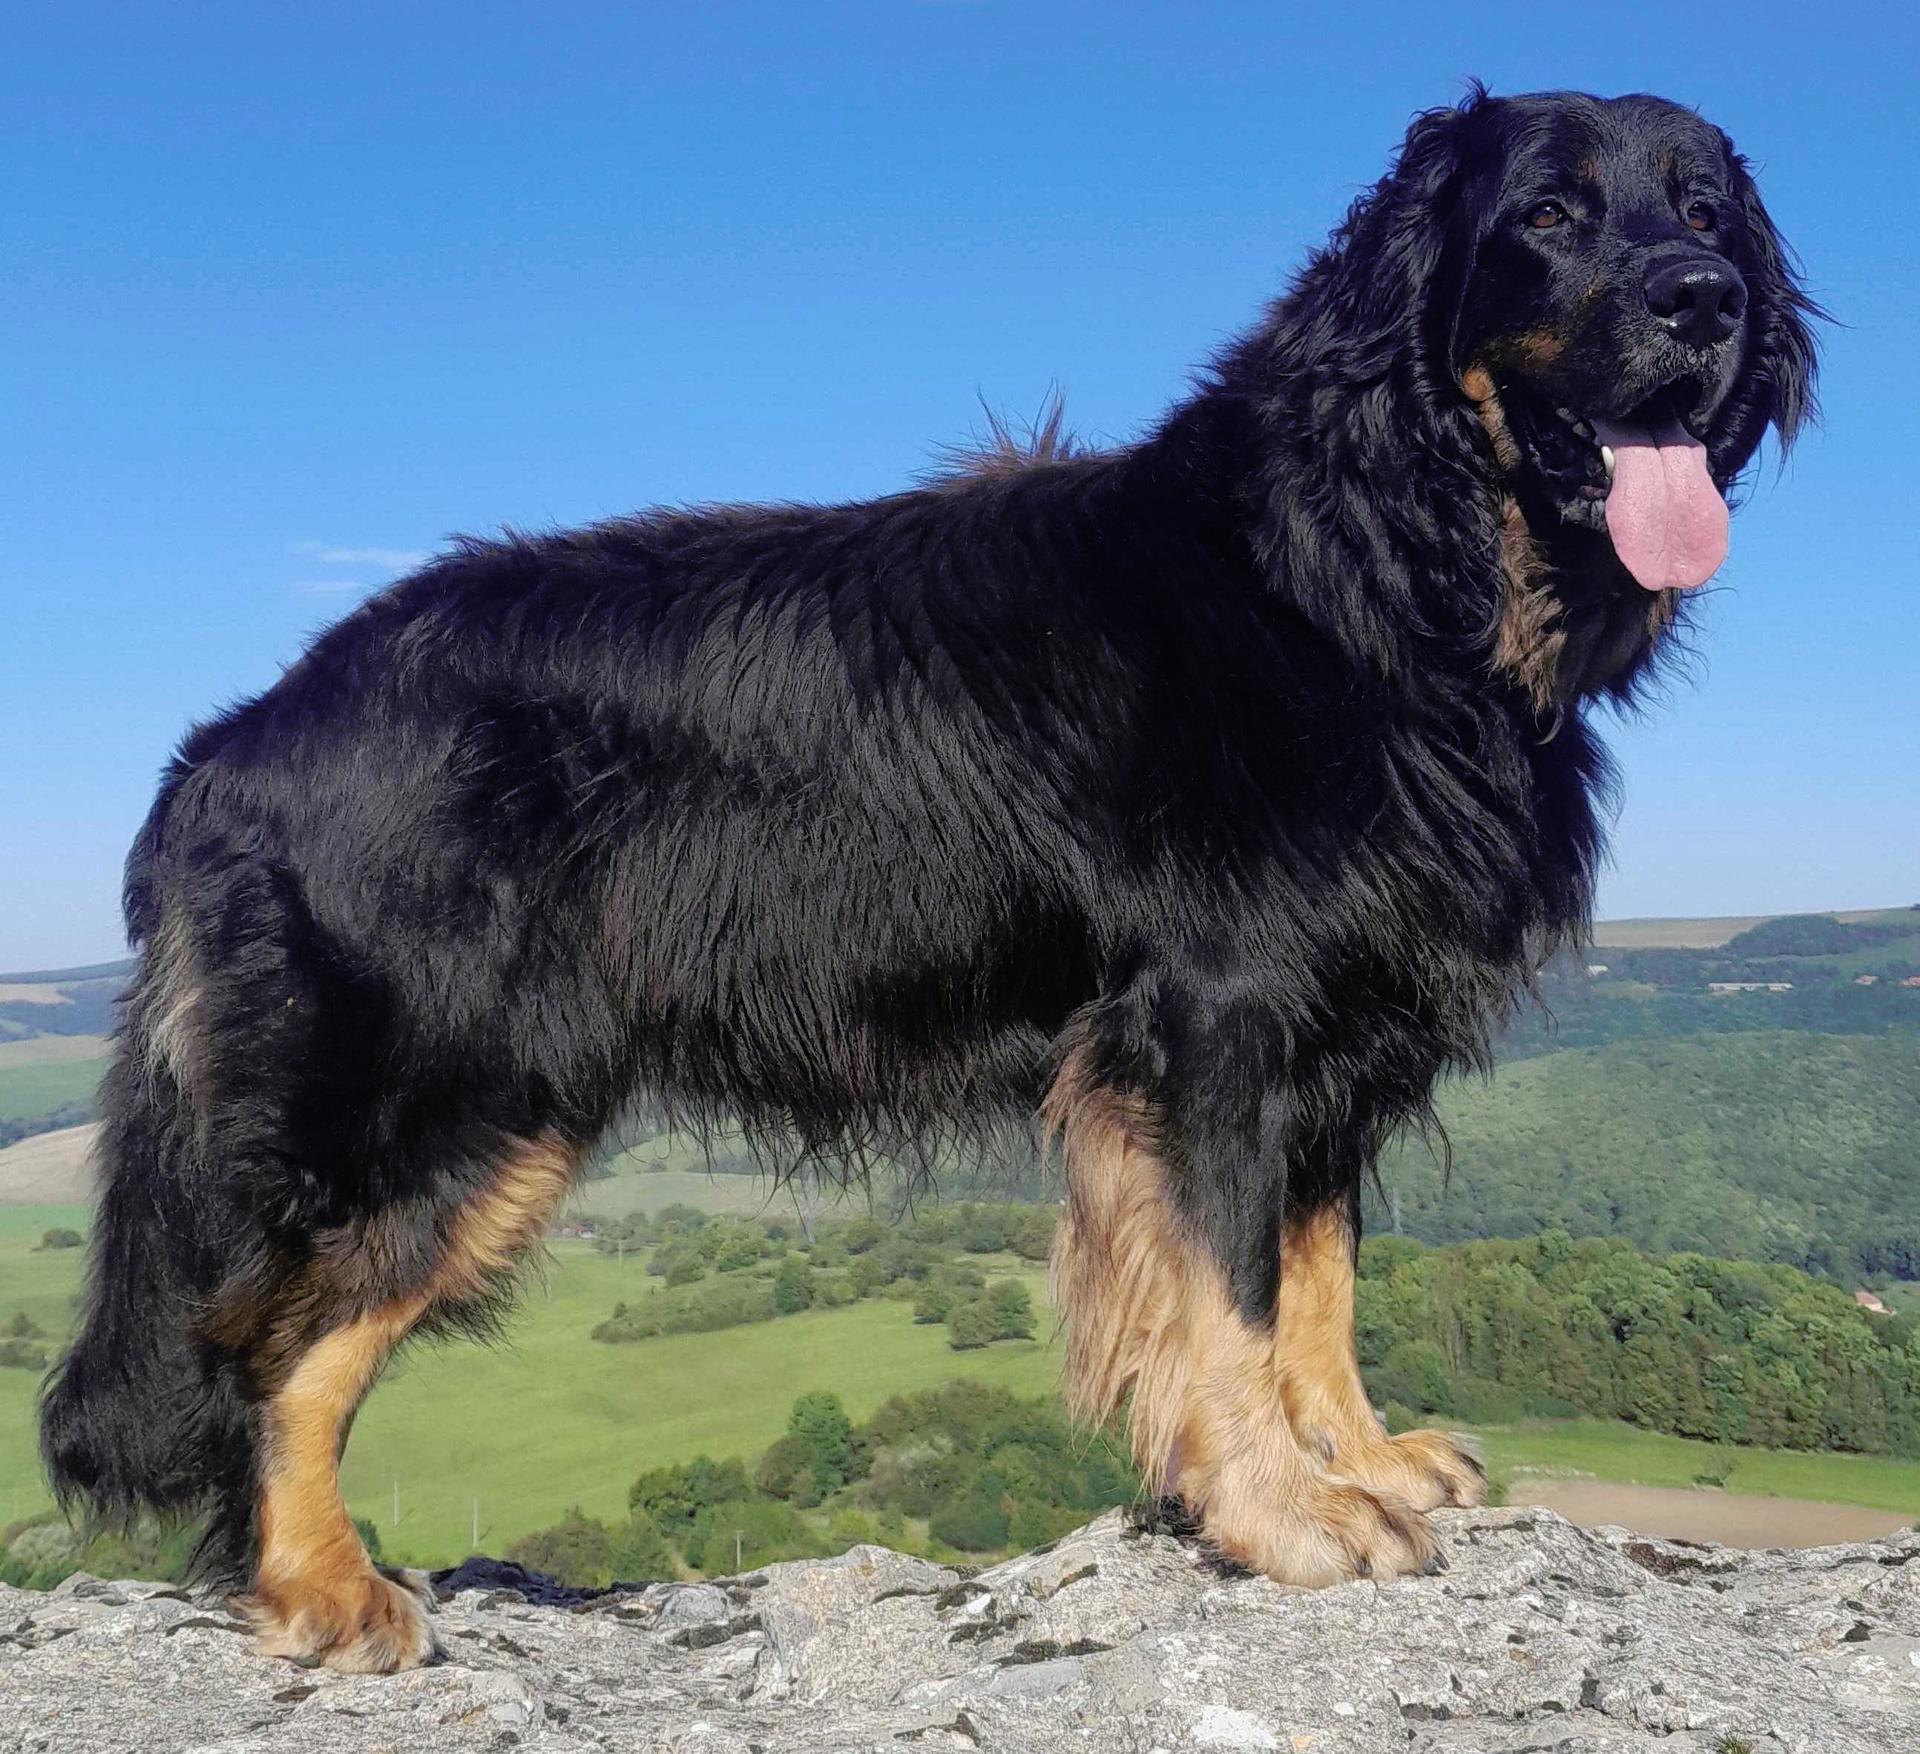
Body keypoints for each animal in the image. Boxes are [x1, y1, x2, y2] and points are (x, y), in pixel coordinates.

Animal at [42, 87, 1816, 1671]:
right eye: (1547, 216)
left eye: (1708, 211)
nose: (1705, 301)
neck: (1372, 557)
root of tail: (237, 737)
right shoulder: (1215, 1025)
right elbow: (1228, 1295)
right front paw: (1282, 1511)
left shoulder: (1336, 1033)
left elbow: (1316, 1281)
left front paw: (1357, 1455)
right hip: (457, 1096)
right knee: (271, 1352)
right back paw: (323, 1585)